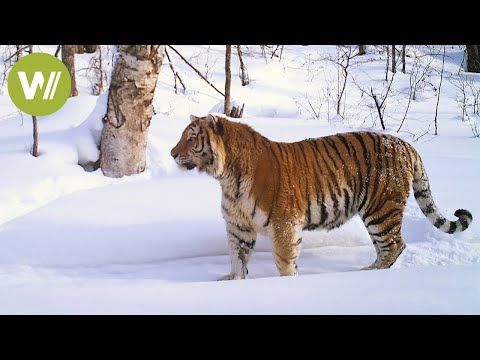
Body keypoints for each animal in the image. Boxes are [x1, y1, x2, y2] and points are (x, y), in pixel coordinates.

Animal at [169, 114, 472, 280]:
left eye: (191, 138)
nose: (172, 153)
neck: (226, 178)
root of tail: (406, 145)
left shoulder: (284, 224)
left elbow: (284, 261)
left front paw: (288, 283)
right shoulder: (238, 226)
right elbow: (237, 258)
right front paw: (233, 280)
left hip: (381, 210)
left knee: (394, 245)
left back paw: (368, 273)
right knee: (389, 247)